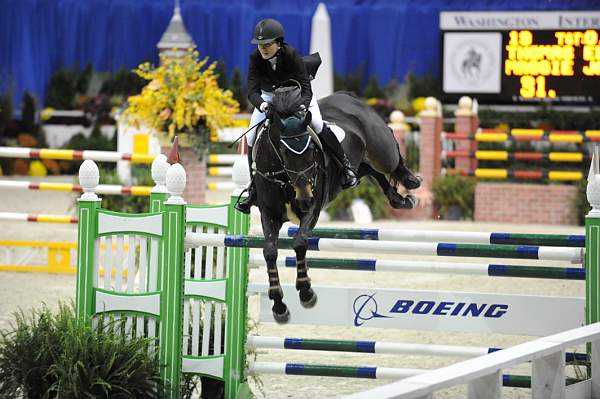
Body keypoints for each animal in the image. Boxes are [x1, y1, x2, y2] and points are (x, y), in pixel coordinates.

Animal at [251, 85, 420, 324]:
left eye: (311, 150)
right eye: (283, 151)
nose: (305, 198)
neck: (284, 178)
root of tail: (346, 97)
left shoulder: (312, 211)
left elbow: (299, 243)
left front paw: (306, 293)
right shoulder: (269, 213)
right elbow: (269, 252)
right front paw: (278, 306)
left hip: (381, 148)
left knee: (391, 159)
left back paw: (411, 182)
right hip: (359, 165)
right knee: (372, 171)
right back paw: (399, 199)